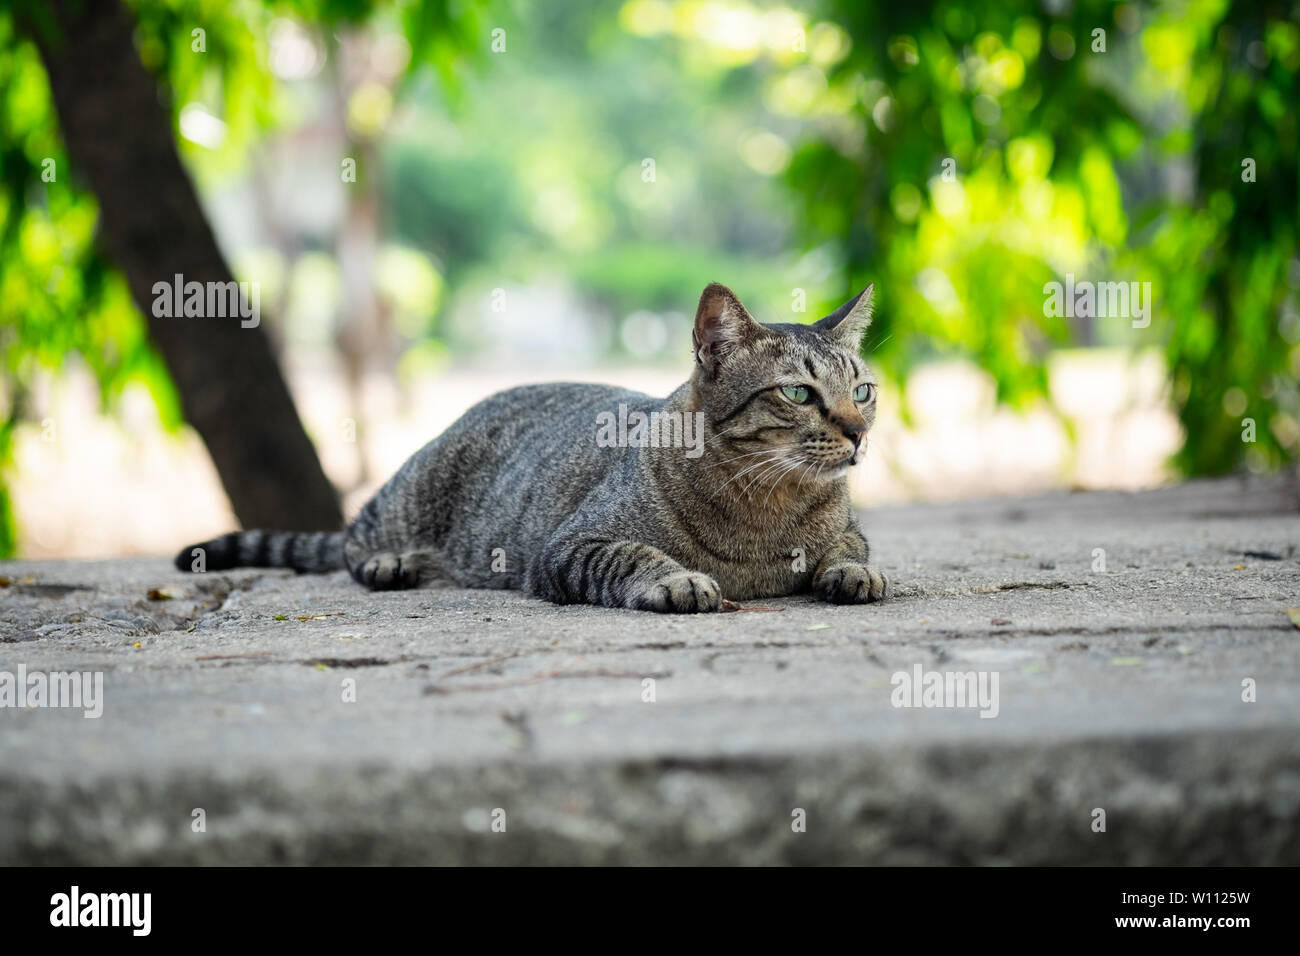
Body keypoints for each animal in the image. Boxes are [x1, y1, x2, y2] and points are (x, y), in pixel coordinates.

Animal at [178, 283, 889, 613]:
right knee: (351, 540)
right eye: (797, 393)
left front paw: (853, 571)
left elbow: (851, 548)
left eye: (863, 389)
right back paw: (392, 563)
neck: (767, 509)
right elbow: (633, 555)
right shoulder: (571, 545)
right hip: (405, 498)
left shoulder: (847, 529)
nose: (858, 431)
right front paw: (678, 578)